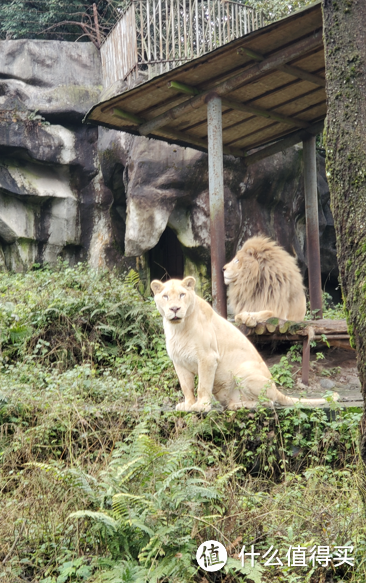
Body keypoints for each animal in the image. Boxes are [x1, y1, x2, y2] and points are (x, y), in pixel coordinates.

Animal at [150, 278, 336, 410]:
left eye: (182, 295)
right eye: (165, 296)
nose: (175, 309)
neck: (178, 329)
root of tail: (276, 389)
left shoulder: (208, 358)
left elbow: (203, 385)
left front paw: (201, 406)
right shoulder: (179, 362)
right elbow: (186, 386)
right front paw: (188, 405)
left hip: (243, 371)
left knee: (268, 403)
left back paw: (239, 405)